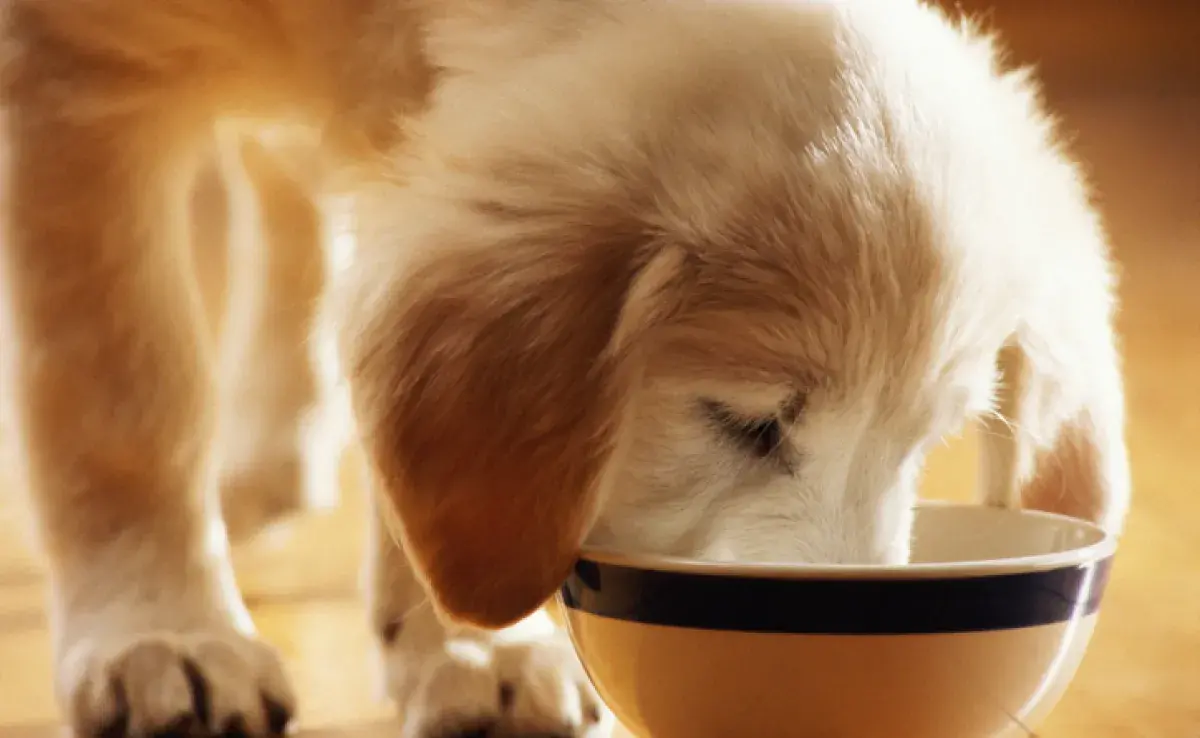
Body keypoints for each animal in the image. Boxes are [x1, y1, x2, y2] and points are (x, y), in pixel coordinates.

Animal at [0, 1, 1128, 738]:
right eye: (744, 422)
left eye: (923, 445)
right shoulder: (68, 71)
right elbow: (122, 400)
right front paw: (162, 633)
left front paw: (469, 649)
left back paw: (276, 452)